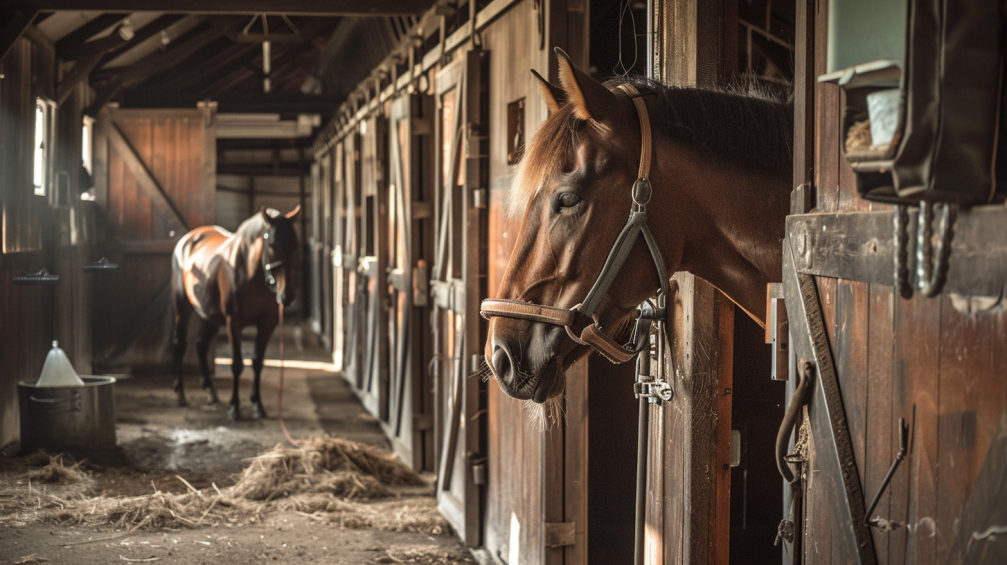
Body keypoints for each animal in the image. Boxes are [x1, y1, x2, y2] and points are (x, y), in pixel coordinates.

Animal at [170, 206, 300, 421]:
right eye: (272, 245)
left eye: (296, 245)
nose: (287, 296)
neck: (250, 271)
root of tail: (188, 239)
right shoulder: (234, 321)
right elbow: (237, 364)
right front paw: (234, 407)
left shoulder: (268, 322)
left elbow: (257, 362)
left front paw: (258, 405)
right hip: (182, 306)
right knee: (180, 344)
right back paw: (179, 393)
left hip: (210, 314)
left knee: (201, 344)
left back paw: (210, 391)